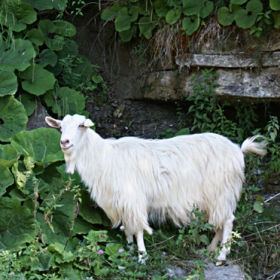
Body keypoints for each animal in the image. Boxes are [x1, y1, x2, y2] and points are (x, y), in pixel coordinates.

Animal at [44, 114, 266, 262]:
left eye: (81, 126)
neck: (104, 157)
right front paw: (128, 251)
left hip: (221, 192)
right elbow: (128, 229)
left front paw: (142, 257)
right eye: (61, 127)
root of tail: (238, 150)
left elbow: (138, 229)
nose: (64, 142)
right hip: (213, 198)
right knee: (219, 222)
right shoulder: (122, 202)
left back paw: (221, 255)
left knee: (227, 221)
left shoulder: (133, 198)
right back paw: (212, 249)